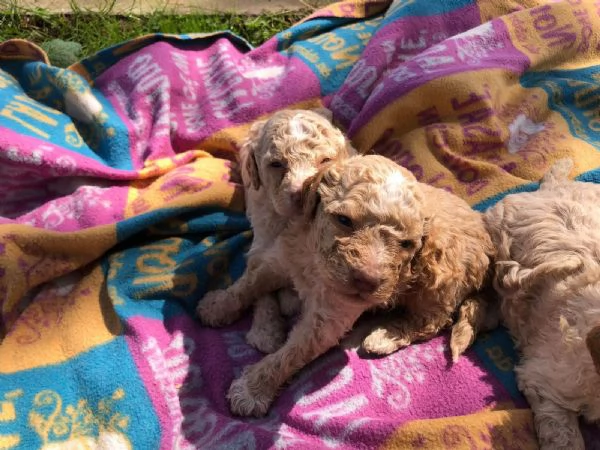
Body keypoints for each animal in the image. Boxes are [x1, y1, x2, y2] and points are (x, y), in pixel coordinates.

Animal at [199, 153, 494, 416]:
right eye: (344, 220)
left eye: (406, 244)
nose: (368, 281)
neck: (317, 263)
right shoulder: (282, 261)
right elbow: (249, 284)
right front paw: (218, 305)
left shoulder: (328, 320)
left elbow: (290, 354)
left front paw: (253, 388)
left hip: (439, 278)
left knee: (432, 321)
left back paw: (384, 336)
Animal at [231, 107, 354, 354]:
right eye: (276, 164)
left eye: (325, 161)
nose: (301, 194)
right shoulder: (261, 243)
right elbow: (260, 282)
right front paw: (265, 332)